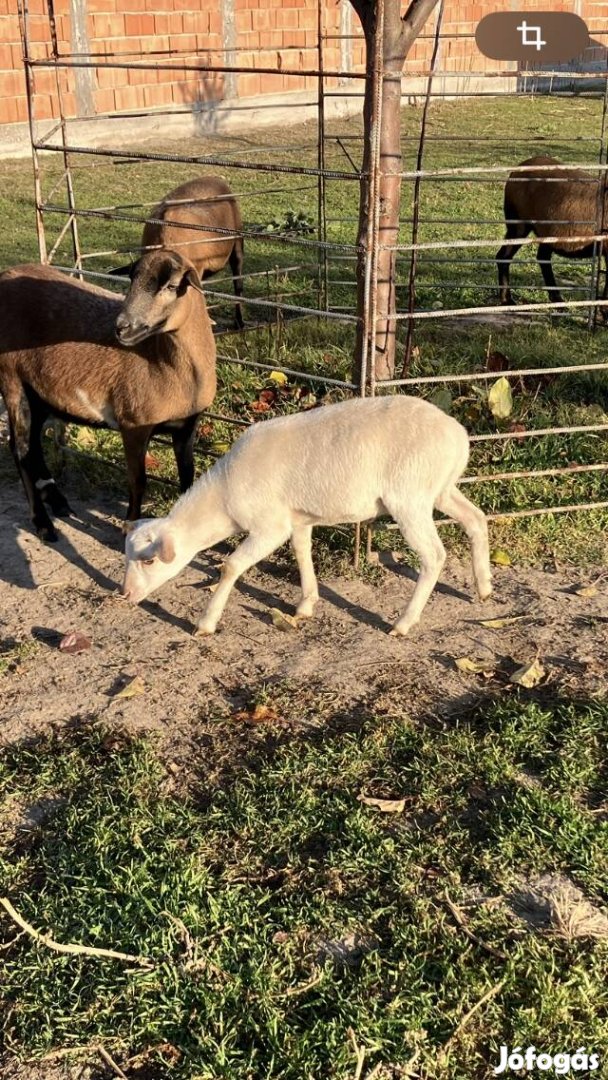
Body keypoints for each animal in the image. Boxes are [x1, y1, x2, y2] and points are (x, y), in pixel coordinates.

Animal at [121, 395, 492, 630]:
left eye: (149, 561)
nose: (124, 593)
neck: (223, 498)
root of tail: (459, 437)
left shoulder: (269, 526)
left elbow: (231, 566)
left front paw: (206, 623)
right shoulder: (297, 519)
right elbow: (302, 552)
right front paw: (306, 604)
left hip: (410, 496)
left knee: (434, 555)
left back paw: (403, 622)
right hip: (440, 489)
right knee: (476, 519)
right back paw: (485, 587)